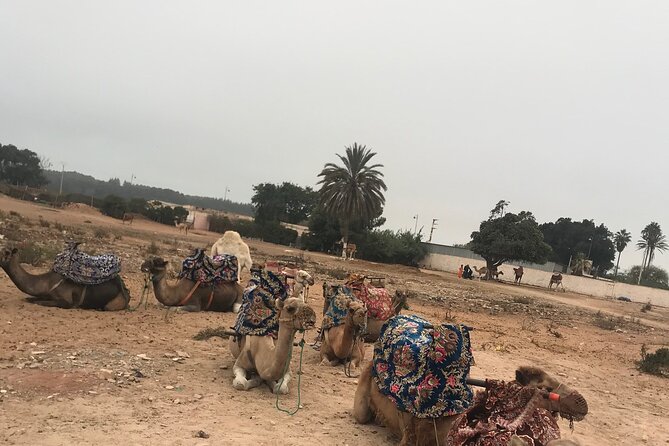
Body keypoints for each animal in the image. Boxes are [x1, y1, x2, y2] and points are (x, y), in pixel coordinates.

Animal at [0, 246, 129, 312]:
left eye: (6, 252)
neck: (47, 283)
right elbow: (29, 299)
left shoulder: (66, 301)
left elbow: (39, 302)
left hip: (113, 304)